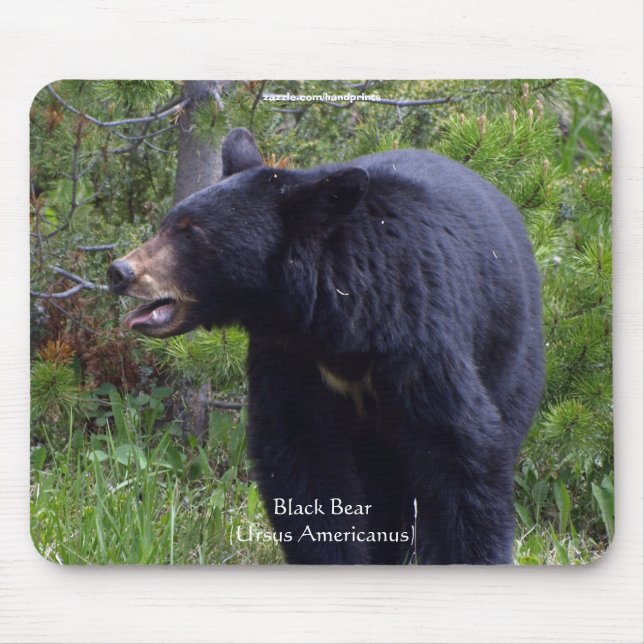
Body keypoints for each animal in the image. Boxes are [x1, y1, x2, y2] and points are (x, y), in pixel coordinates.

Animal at [108, 127, 544, 565]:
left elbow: (459, 444)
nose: (120, 271)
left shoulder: (418, 332)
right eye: (166, 223)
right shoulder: (288, 357)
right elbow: (303, 457)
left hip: (513, 355)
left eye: (191, 233)